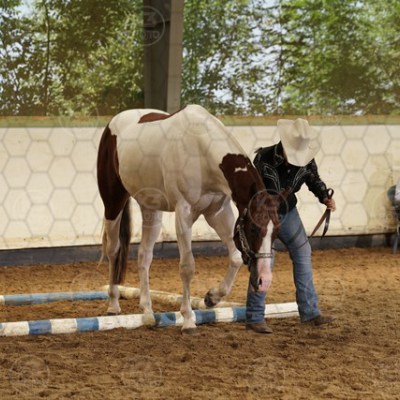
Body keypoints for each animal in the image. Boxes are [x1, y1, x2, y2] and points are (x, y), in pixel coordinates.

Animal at [97, 104, 285, 334]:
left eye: (276, 231)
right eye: (253, 230)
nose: (264, 280)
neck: (201, 150)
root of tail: (112, 124)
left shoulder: (217, 212)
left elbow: (235, 257)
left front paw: (211, 298)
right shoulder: (184, 212)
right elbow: (187, 267)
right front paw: (188, 320)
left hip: (151, 209)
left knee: (144, 256)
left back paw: (148, 312)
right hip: (113, 202)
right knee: (114, 250)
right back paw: (114, 304)